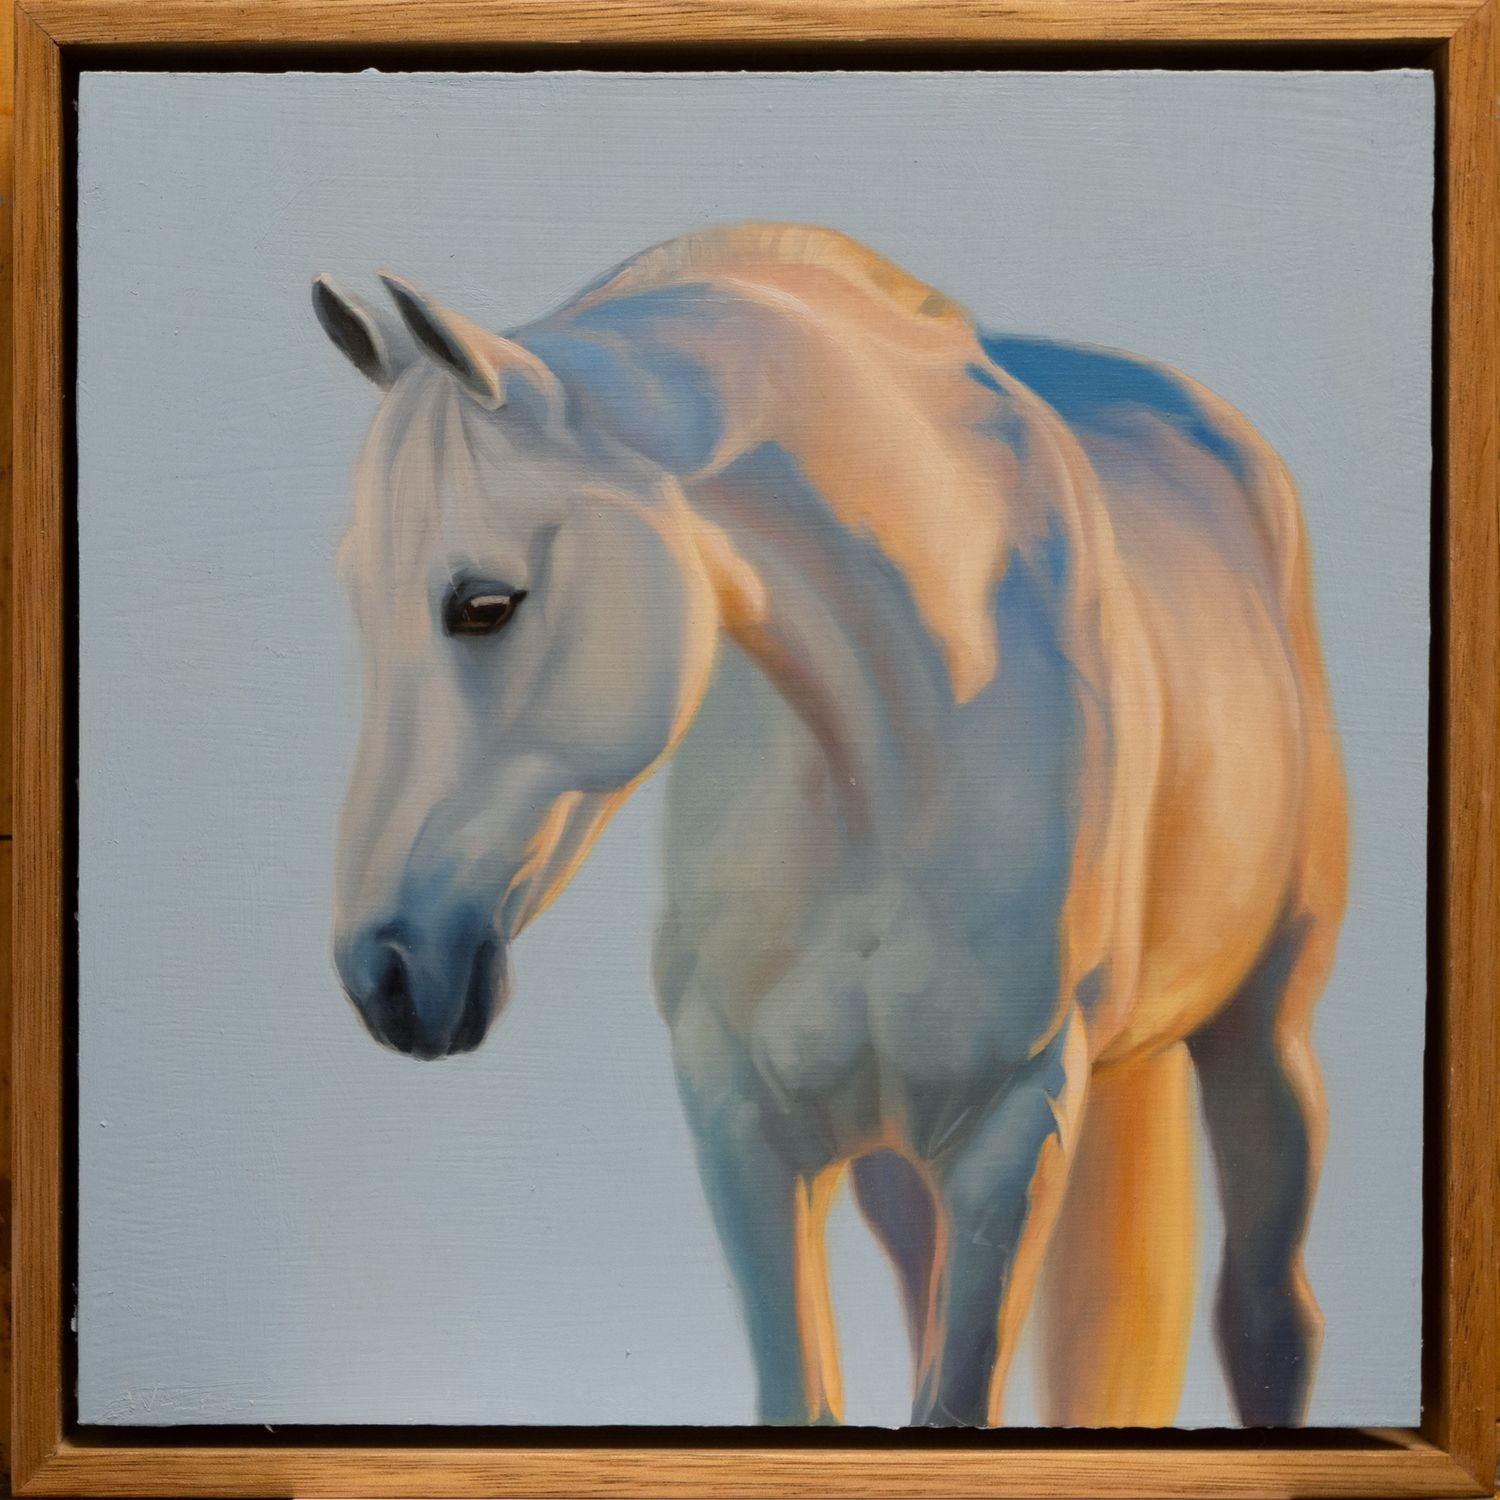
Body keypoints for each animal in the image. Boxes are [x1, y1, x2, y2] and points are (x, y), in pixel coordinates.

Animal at [313, 223, 1348, 1430]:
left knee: (1269, 1318)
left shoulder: (1016, 1129)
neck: (890, 754)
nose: (384, 973)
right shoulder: (745, 1125)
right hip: (905, 1160)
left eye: (483, 605)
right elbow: (808, 1402)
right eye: (355, 596)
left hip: (1263, 1035)